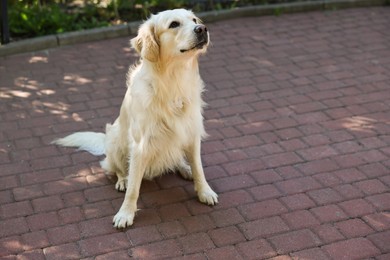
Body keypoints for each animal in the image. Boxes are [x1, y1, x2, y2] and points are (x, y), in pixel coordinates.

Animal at [52, 8, 218, 228]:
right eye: (174, 24)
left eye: (194, 20)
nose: (202, 29)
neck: (173, 81)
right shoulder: (140, 145)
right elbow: (133, 188)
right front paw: (125, 213)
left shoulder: (191, 133)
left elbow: (199, 168)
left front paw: (204, 191)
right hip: (115, 140)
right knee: (118, 169)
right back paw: (122, 180)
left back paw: (185, 168)